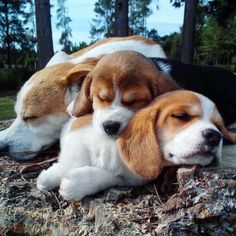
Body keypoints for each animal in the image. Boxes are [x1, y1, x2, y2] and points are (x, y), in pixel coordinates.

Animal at [37, 90, 236, 199]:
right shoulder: (78, 136)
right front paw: (49, 178)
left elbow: (109, 176)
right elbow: (73, 161)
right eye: (181, 116)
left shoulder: (130, 178)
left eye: (219, 126)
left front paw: (78, 184)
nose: (215, 136)